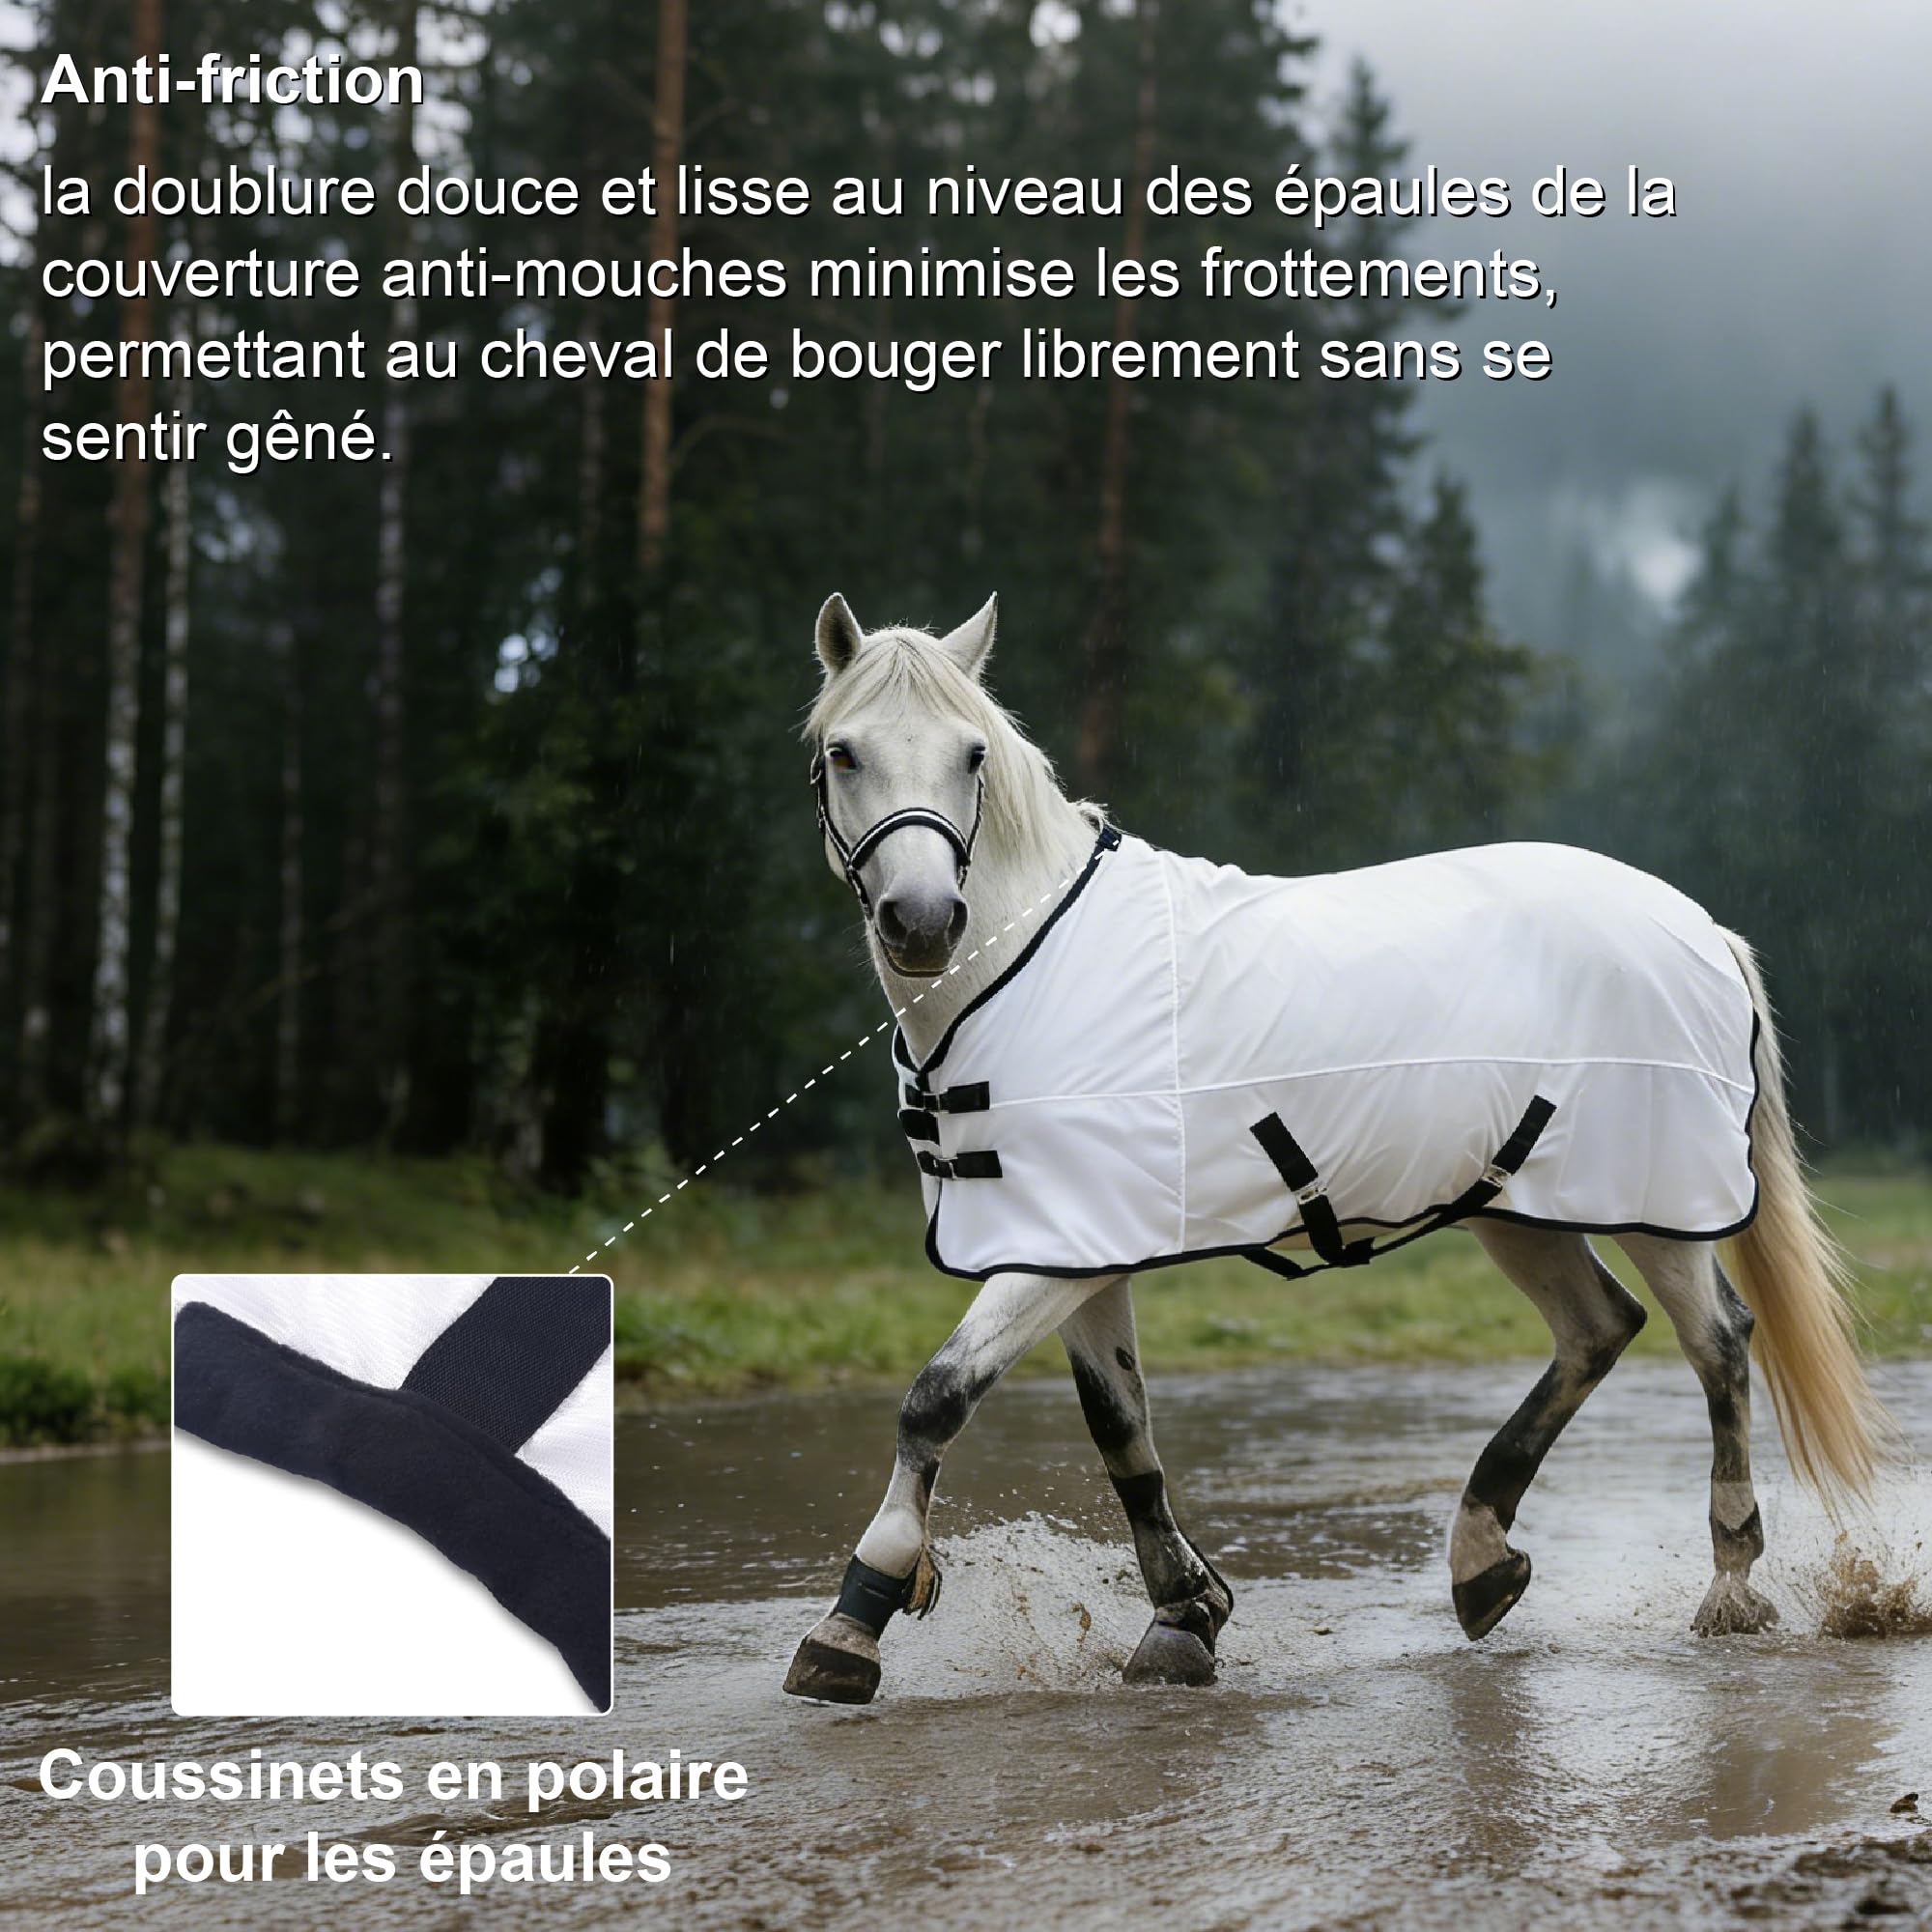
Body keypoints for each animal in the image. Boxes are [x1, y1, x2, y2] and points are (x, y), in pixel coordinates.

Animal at [782, 592, 1882, 1705]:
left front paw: (854, 1619)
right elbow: (1120, 1428)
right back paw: (1481, 1559)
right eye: (842, 752)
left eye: (971, 754)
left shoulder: (1057, 1252)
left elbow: (936, 1399)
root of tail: (1698, 925)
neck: (1028, 966)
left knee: (1717, 1342)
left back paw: (1729, 1585)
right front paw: (1184, 1615)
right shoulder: (1074, 1244)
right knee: (1597, 1327)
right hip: (1511, 1204)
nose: (923, 920)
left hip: (1655, 1199)